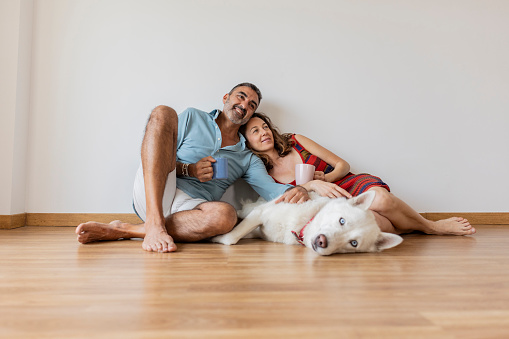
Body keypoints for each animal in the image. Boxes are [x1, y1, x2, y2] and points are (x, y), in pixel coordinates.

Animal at [209, 191, 400, 255]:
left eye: (353, 243)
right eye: (342, 221)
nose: (322, 241)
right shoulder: (260, 213)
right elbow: (232, 237)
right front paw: (217, 238)